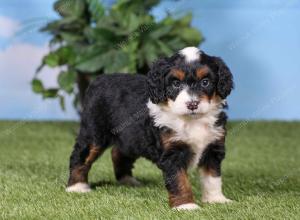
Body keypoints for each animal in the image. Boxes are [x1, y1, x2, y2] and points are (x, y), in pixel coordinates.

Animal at [67, 46, 233, 210]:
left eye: (205, 82)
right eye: (176, 84)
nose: (192, 104)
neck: (191, 120)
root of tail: (100, 79)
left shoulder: (213, 147)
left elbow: (212, 177)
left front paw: (216, 199)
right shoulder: (171, 152)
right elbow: (179, 180)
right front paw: (186, 206)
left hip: (131, 137)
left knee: (118, 152)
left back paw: (127, 181)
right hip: (95, 132)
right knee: (80, 156)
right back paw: (77, 187)